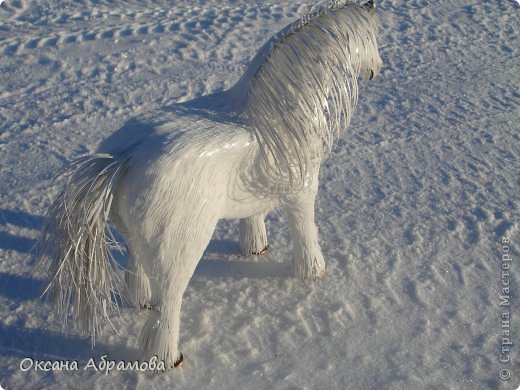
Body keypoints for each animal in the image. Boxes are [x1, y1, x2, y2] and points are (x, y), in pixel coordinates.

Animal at [34, 0, 380, 368]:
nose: (376, 70)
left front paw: (256, 249)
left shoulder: (254, 195)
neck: (274, 114)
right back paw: (168, 359)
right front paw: (314, 273)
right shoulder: (302, 192)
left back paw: (140, 303)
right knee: (170, 303)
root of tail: (121, 160)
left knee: (138, 271)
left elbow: (253, 221)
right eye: (372, 41)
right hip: (181, 247)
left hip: (135, 235)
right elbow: (306, 233)